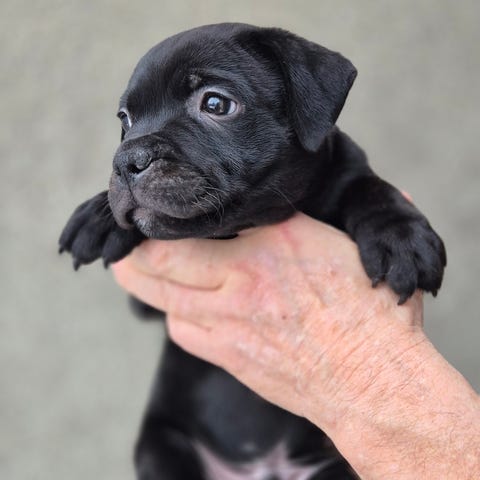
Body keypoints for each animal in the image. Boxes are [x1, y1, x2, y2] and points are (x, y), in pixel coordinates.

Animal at [59, 23, 446, 479]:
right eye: (126, 120)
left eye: (215, 103)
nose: (126, 160)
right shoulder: (151, 304)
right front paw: (98, 215)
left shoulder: (346, 169)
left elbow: (368, 186)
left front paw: (400, 235)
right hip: (159, 448)